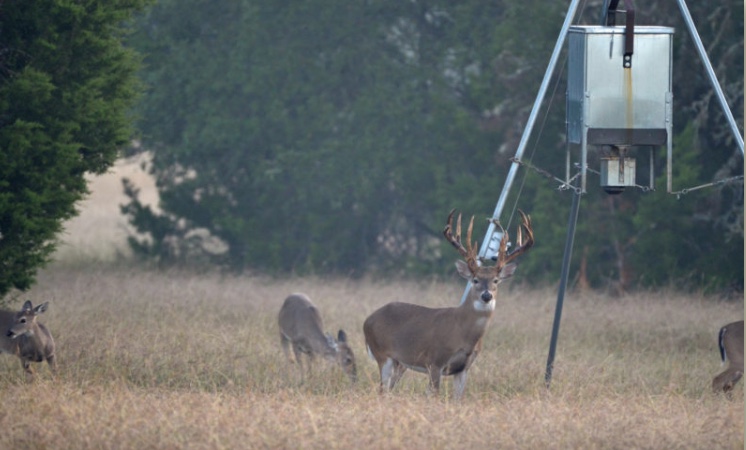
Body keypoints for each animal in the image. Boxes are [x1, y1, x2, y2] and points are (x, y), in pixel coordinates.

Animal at [363, 209, 534, 399]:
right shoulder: (435, 360)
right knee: (381, 389)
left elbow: (458, 399)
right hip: (382, 353)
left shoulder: (464, 368)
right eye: (475, 280)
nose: (486, 295)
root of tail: (367, 320)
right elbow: (434, 395)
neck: (463, 333)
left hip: (400, 362)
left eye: (496, 281)